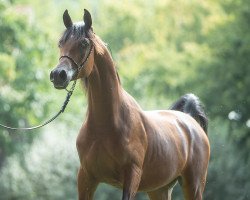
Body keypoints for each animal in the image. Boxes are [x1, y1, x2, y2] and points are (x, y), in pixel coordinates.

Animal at [49, 9, 210, 200]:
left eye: (83, 43)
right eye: (61, 42)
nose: (58, 75)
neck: (106, 125)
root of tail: (189, 120)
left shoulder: (132, 176)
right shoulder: (86, 177)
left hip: (194, 186)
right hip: (159, 189)